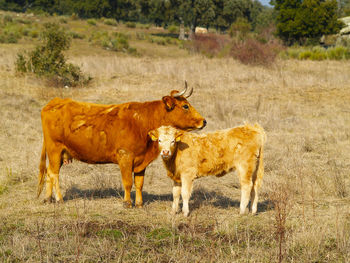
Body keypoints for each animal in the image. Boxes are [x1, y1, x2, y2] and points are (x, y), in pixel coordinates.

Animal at [37, 83, 206, 208]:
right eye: (185, 106)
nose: (203, 121)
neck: (142, 122)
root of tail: (55, 102)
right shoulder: (125, 157)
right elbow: (128, 182)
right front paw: (127, 203)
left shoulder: (141, 161)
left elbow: (139, 183)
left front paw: (139, 203)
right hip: (54, 149)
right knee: (53, 173)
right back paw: (59, 199)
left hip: (59, 153)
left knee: (49, 172)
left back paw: (47, 199)